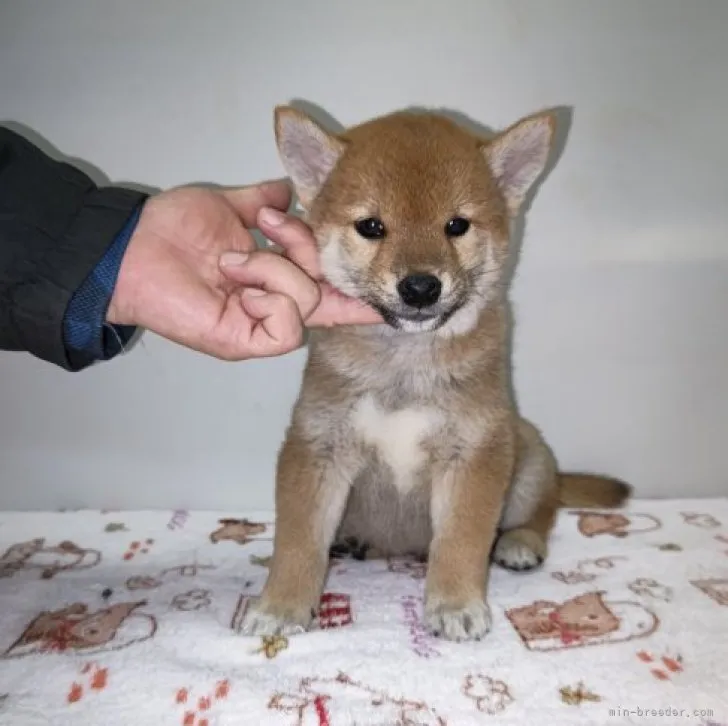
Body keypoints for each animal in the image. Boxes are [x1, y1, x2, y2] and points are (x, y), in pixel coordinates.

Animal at [242, 104, 628, 644]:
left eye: (456, 224)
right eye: (371, 226)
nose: (421, 287)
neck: (405, 364)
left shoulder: (476, 451)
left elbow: (461, 540)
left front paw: (456, 605)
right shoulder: (317, 445)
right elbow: (298, 540)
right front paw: (280, 605)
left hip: (527, 453)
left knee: (543, 508)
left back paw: (518, 542)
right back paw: (352, 541)